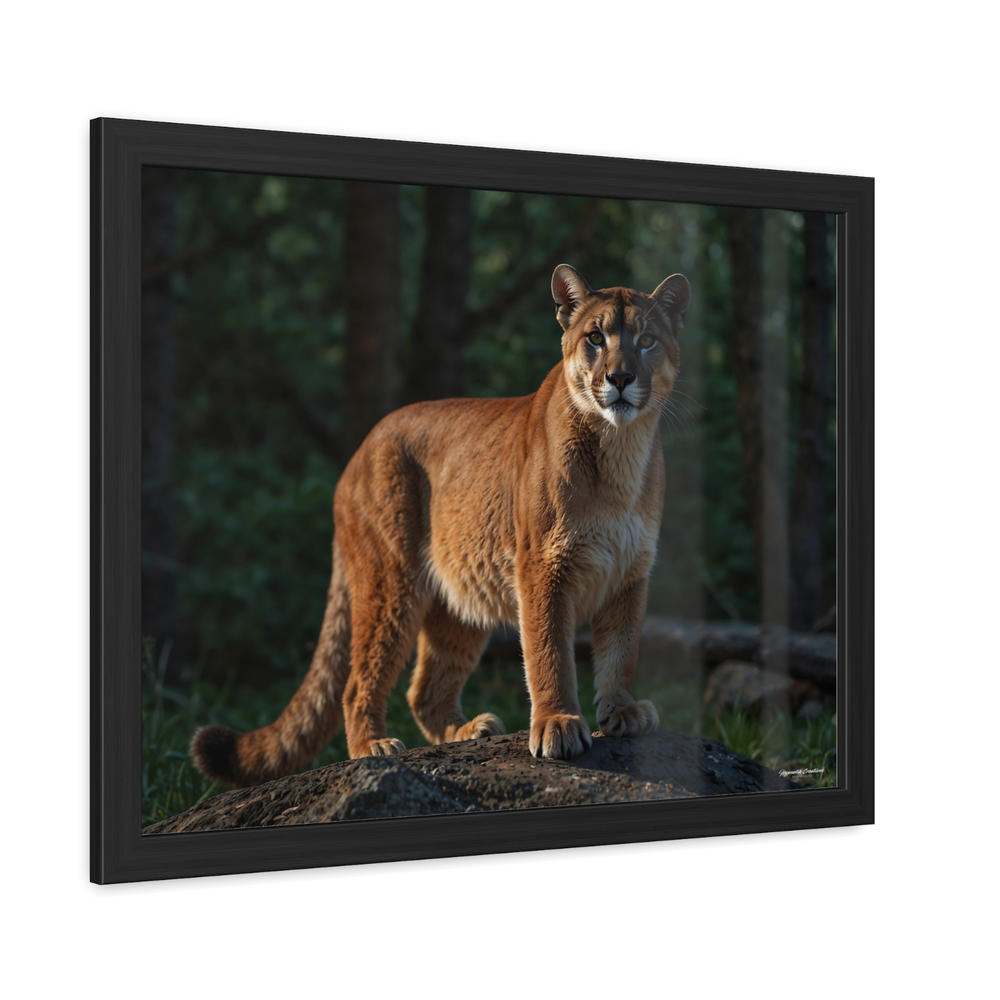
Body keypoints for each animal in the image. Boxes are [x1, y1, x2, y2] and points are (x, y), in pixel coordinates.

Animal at [191, 264, 691, 787]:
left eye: (647, 341)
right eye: (595, 337)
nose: (620, 377)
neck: (620, 450)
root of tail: (362, 446)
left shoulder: (630, 571)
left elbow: (622, 650)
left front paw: (623, 711)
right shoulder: (543, 568)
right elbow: (550, 650)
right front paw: (558, 723)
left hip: (459, 598)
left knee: (425, 689)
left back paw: (468, 730)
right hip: (390, 582)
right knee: (356, 682)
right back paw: (373, 747)